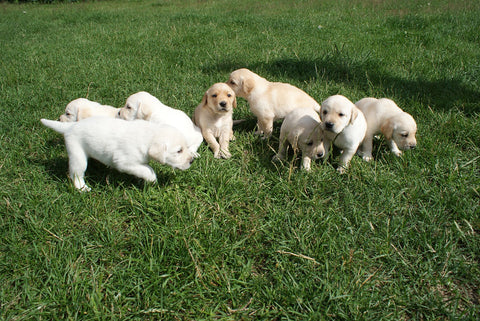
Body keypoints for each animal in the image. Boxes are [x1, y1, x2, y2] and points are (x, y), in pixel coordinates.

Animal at [39, 116, 193, 191]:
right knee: (76, 174)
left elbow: (145, 167)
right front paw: (152, 179)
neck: (150, 136)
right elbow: (147, 170)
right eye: (179, 150)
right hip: (78, 155)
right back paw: (82, 188)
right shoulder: (124, 162)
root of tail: (70, 126)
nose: (191, 161)